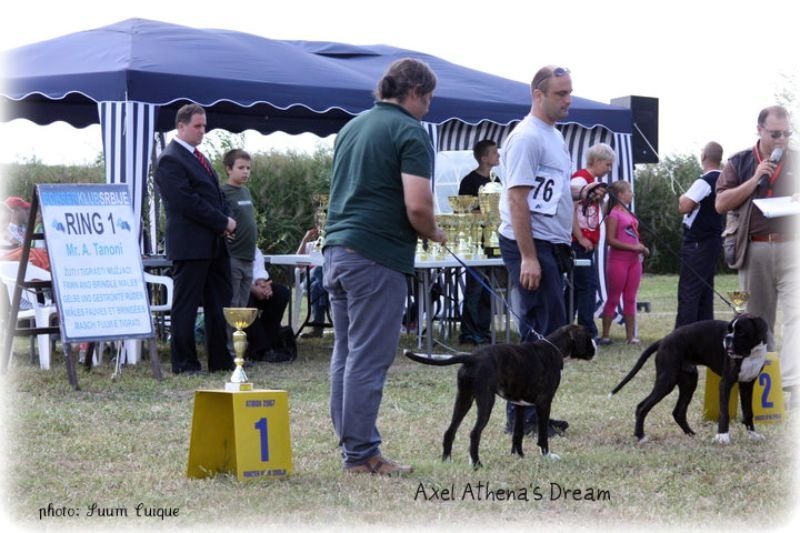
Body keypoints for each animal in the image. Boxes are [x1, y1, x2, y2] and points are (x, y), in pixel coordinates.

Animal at [406, 320, 592, 466]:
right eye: (588, 338)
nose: (595, 347)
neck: (553, 347)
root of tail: (472, 357)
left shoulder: (519, 405)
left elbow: (517, 433)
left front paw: (518, 455)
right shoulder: (544, 403)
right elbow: (543, 435)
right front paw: (547, 455)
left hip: (463, 399)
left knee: (450, 430)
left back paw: (446, 461)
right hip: (486, 402)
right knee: (474, 433)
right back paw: (476, 464)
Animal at [608, 314, 772, 442]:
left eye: (741, 331)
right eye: (730, 330)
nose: (727, 338)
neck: (750, 354)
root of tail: (664, 340)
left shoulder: (747, 384)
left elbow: (748, 411)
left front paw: (753, 435)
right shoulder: (725, 384)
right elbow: (724, 412)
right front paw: (723, 436)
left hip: (688, 382)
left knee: (678, 412)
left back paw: (691, 434)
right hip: (667, 381)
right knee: (642, 406)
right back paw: (640, 436)